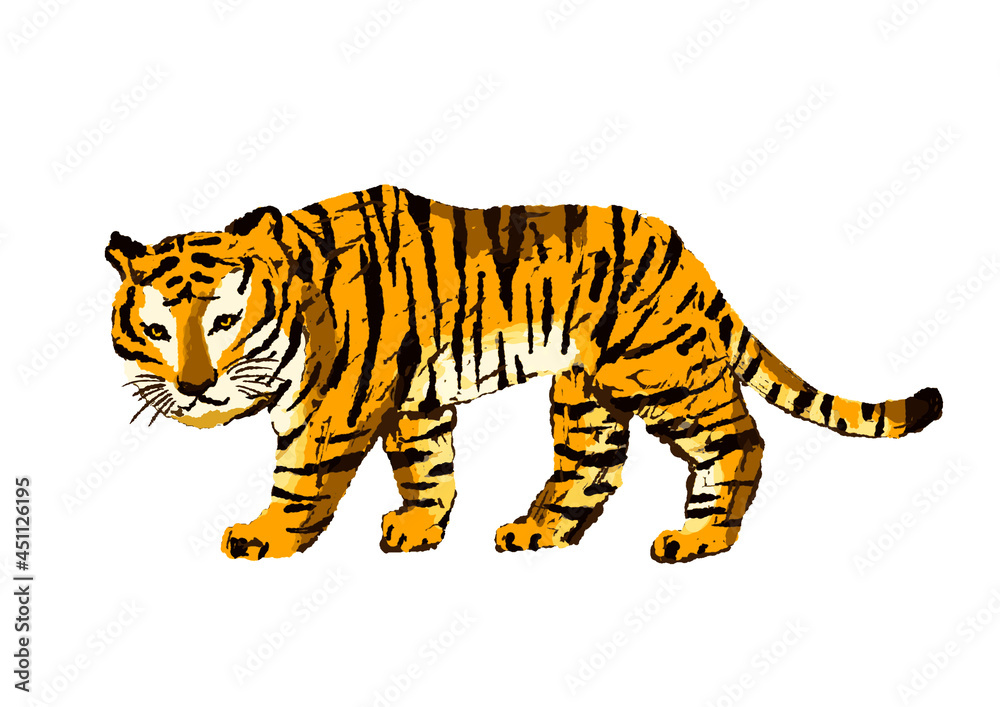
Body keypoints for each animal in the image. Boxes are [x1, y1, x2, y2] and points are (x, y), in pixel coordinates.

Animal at [106, 185, 943, 563]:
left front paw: (264, 536)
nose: (192, 386)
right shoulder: (414, 400)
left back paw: (699, 536)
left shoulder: (331, 406)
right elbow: (428, 468)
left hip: (660, 370)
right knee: (594, 469)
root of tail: (681, 248)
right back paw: (538, 529)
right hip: (587, 395)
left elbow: (301, 478)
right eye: (157, 328)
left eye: (222, 322)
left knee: (740, 438)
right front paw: (418, 527)